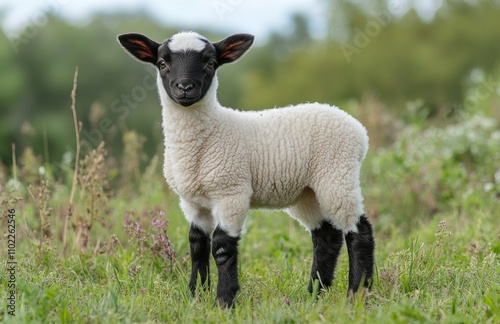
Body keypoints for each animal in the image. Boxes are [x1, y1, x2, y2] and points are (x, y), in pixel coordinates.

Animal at [118, 31, 376, 308]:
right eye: (162, 63)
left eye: (211, 63)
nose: (185, 88)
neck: (207, 135)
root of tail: (359, 131)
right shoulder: (191, 202)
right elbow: (197, 245)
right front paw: (196, 296)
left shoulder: (231, 192)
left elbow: (221, 247)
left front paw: (224, 300)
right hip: (307, 191)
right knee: (326, 236)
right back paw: (315, 294)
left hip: (337, 173)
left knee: (359, 231)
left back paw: (357, 293)